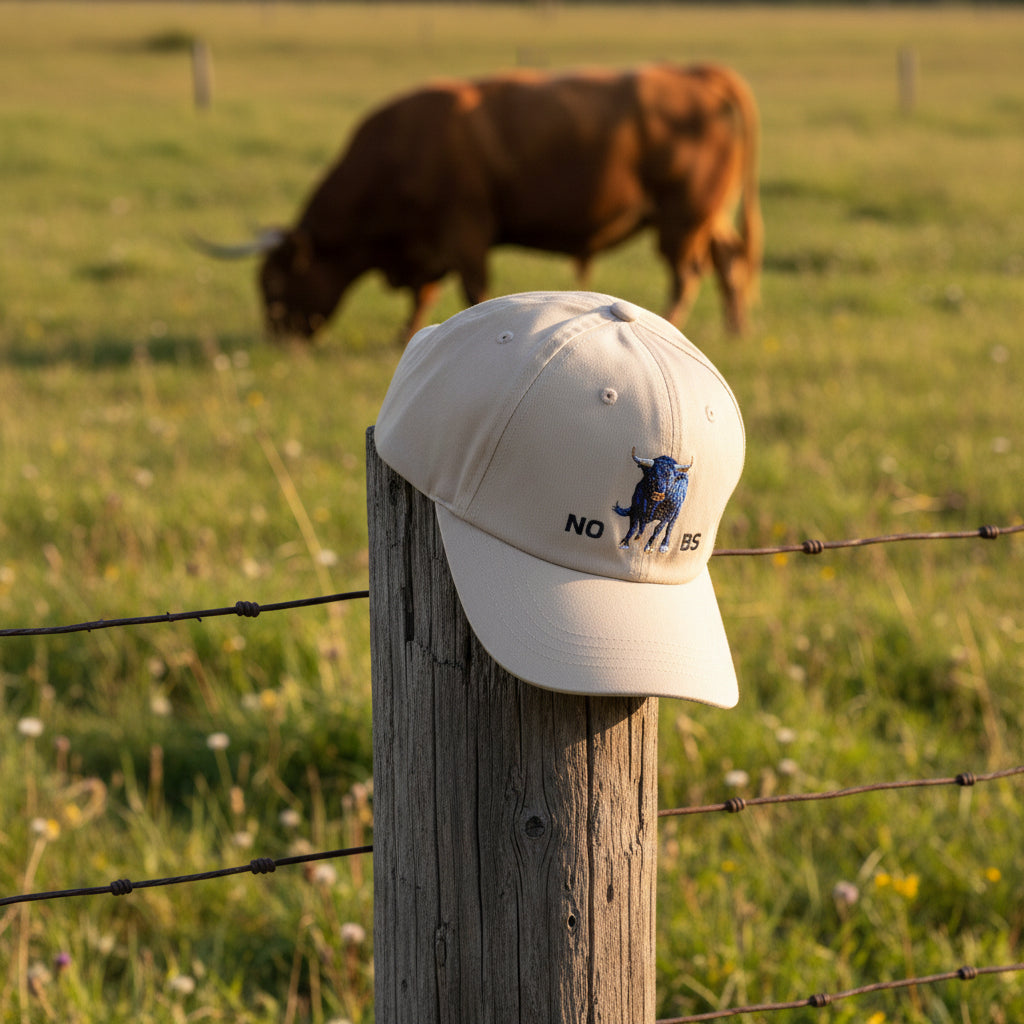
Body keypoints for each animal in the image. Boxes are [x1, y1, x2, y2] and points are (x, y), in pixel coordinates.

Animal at [197, 63, 761, 343]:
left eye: (273, 283)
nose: (276, 337)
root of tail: (694, 73)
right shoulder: (429, 246)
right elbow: (424, 295)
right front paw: (407, 334)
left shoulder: (463, 231)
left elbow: (471, 291)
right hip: (706, 218)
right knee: (727, 260)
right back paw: (735, 328)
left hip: (683, 218)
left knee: (687, 274)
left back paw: (673, 322)